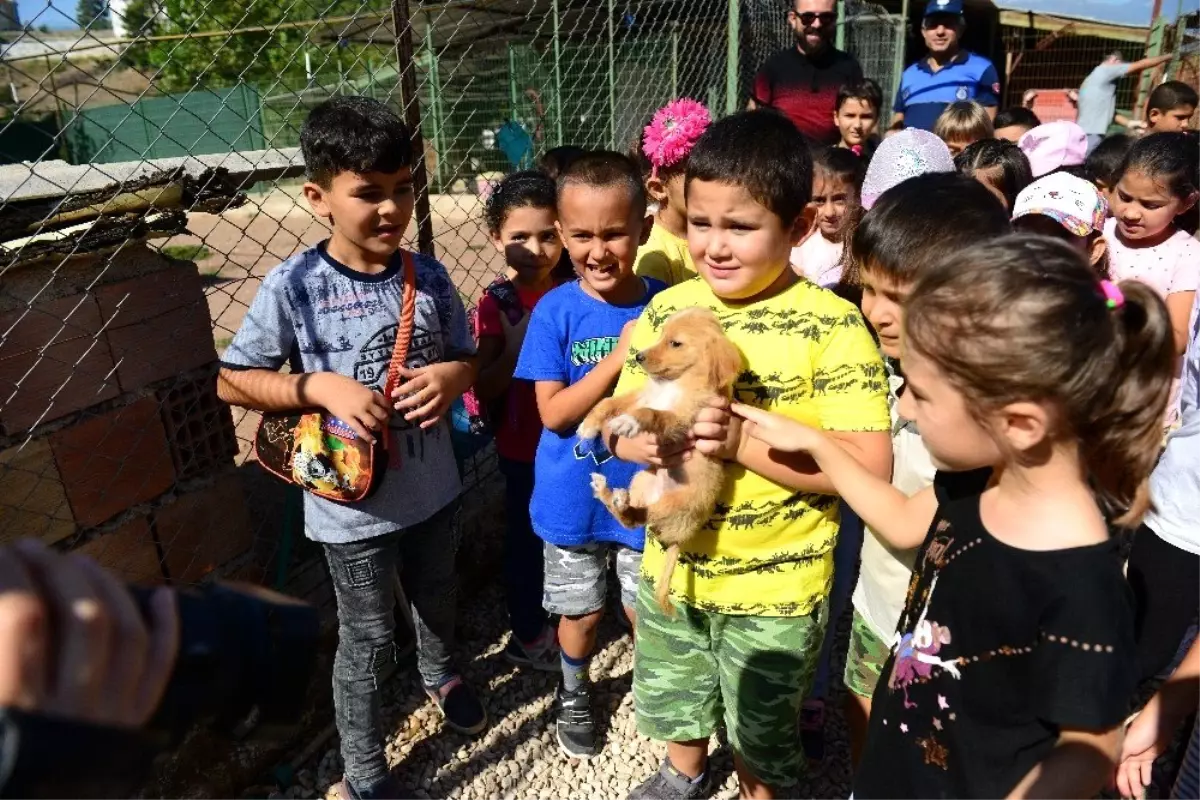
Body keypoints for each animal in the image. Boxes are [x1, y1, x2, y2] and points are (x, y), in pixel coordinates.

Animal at [578, 307, 739, 614]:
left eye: (675, 343)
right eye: (661, 336)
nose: (638, 356)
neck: (673, 385)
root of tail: (680, 537)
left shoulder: (682, 421)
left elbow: (652, 414)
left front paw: (629, 422)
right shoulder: (641, 395)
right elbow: (608, 404)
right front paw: (588, 426)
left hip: (674, 504)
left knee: (637, 519)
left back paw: (617, 499)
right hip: (643, 479)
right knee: (633, 517)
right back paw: (608, 493)